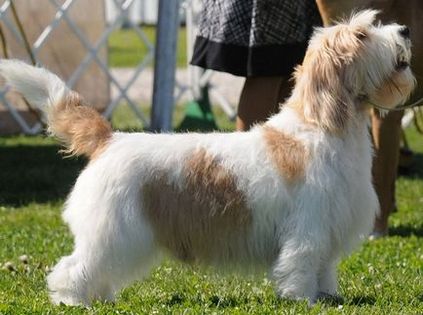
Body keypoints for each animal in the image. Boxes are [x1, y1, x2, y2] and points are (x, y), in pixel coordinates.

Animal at [0, 9, 416, 306]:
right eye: (362, 35)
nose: (406, 30)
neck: (322, 126)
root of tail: (110, 139)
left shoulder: (330, 228)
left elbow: (324, 269)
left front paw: (328, 297)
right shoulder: (307, 230)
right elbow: (301, 266)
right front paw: (303, 301)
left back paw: (98, 297)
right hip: (113, 230)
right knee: (73, 267)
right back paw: (71, 299)